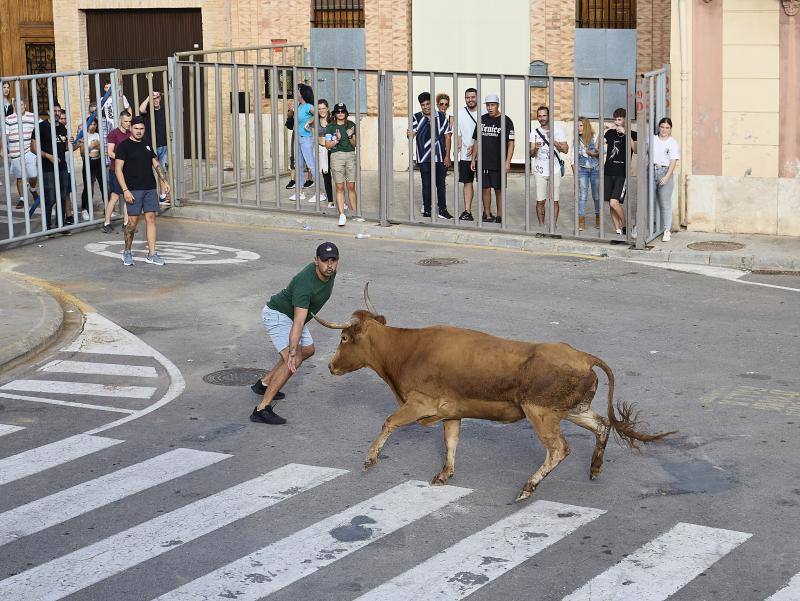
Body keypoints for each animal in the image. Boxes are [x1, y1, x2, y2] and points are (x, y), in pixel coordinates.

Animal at [314, 284, 676, 500]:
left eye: (344, 339)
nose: (330, 365)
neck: (406, 351)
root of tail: (582, 355)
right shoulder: (452, 412)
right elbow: (451, 442)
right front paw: (444, 475)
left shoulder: (420, 403)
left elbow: (389, 422)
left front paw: (370, 459)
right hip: (573, 409)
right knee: (601, 424)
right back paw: (595, 468)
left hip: (541, 413)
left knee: (559, 449)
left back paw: (528, 487)